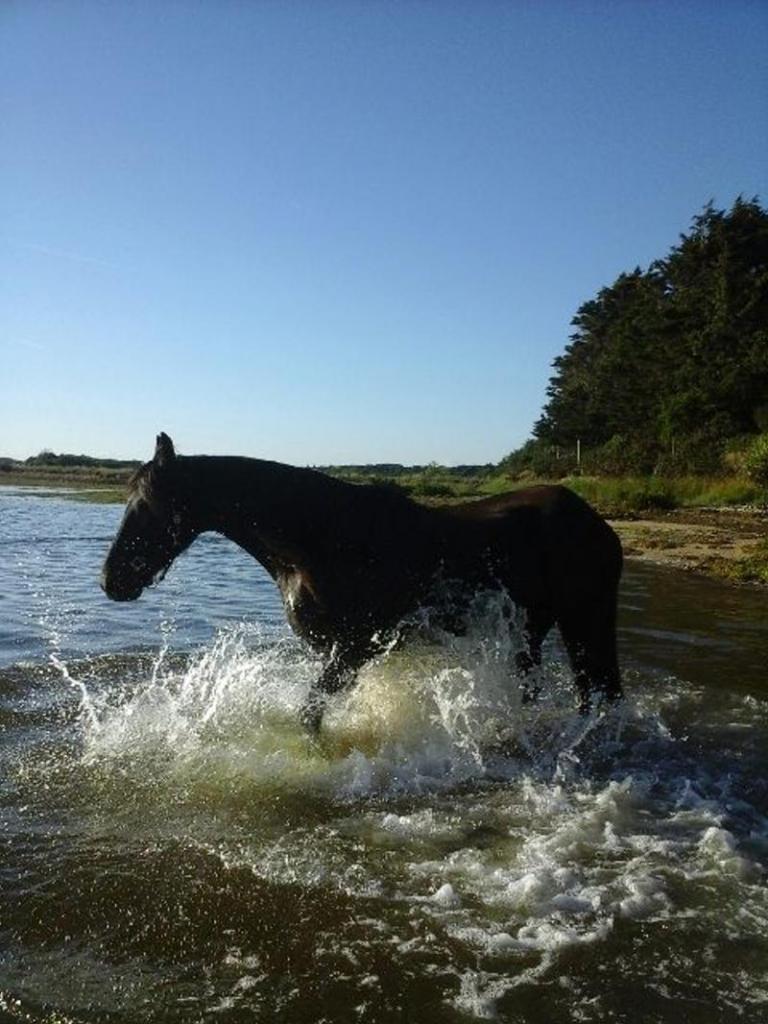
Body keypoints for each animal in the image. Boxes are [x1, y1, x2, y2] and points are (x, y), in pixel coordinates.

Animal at [100, 436, 626, 733]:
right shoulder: (337, 650)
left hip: (586, 622)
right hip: (535, 630)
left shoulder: (356, 648)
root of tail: (595, 521)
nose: (111, 581)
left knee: (598, 691)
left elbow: (309, 716)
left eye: (150, 506)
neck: (318, 542)